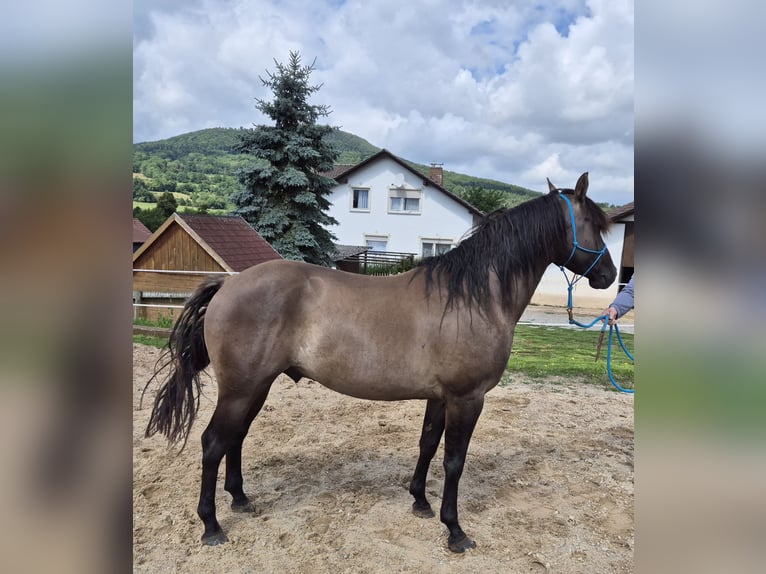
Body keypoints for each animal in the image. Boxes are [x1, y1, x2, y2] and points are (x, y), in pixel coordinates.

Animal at [143, 172, 616, 553]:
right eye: (595, 225)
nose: (610, 276)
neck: (473, 298)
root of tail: (228, 283)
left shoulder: (440, 397)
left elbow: (428, 445)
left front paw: (420, 501)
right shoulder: (467, 398)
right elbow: (454, 461)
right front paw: (455, 531)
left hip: (255, 387)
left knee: (235, 439)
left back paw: (241, 499)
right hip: (240, 388)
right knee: (213, 443)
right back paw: (211, 525)